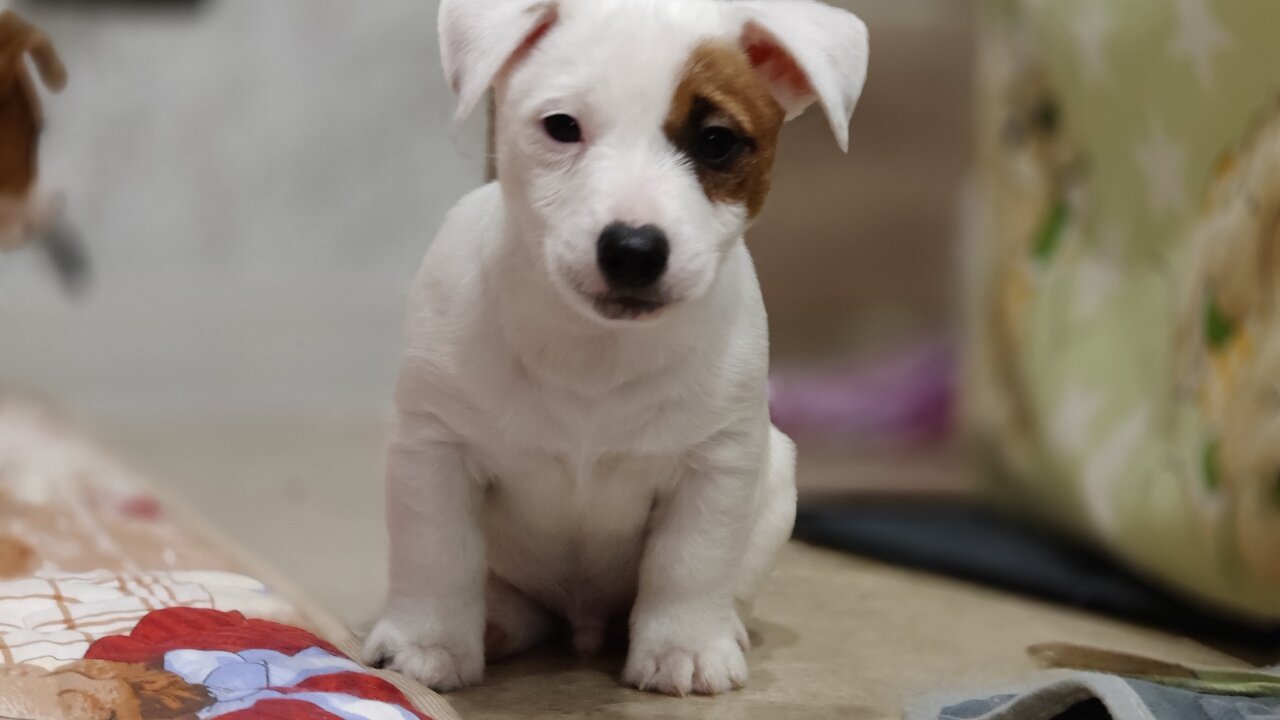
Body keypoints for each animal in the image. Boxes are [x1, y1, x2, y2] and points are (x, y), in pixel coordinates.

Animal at [363, 0, 868, 697]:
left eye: (716, 141)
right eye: (561, 127)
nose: (633, 248)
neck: (596, 348)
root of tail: (583, 622)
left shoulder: (716, 464)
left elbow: (690, 563)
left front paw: (684, 646)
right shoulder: (434, 448)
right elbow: (436, 553)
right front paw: (427, 643)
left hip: (776, 489)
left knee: (728, 586)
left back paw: (722, 629)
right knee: (512, 600)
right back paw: (493, 622)